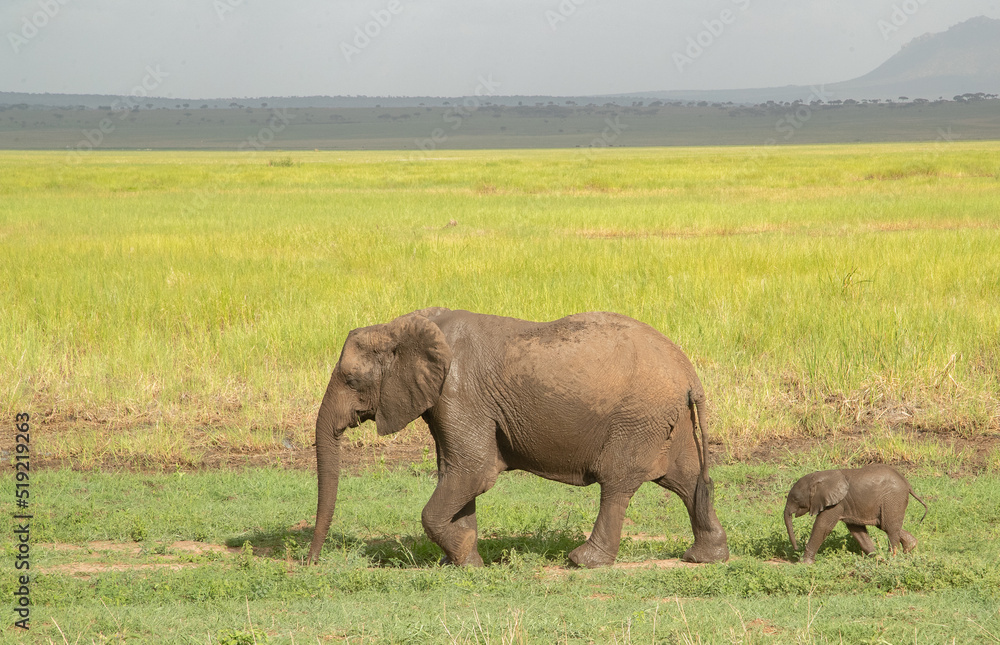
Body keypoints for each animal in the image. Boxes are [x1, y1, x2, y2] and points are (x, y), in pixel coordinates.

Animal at [306, 307, 730, 568]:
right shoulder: (448, 400)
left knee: (617, 482)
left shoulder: (458, 393)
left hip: (638, 417)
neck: (405, 324)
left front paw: (464, 557)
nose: (309, 562)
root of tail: (690, 374)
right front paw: (463, 563)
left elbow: (473, 473)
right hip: (666, 419)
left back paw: (582, 562)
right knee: (686, 480)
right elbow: (456, 473)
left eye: (351, 380)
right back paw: (705, 557)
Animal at [784, 464, 928, 564]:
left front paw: (804, 563)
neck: (820, 477)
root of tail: (907, 484)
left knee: (890, 528)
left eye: (795, 499)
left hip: (892, 499)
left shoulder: (836, 503)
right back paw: (909, 547)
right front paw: (876, 558)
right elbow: (857, 530)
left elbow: (822, 526)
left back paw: (893, 557)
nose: (796, 549)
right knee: (887, 525)